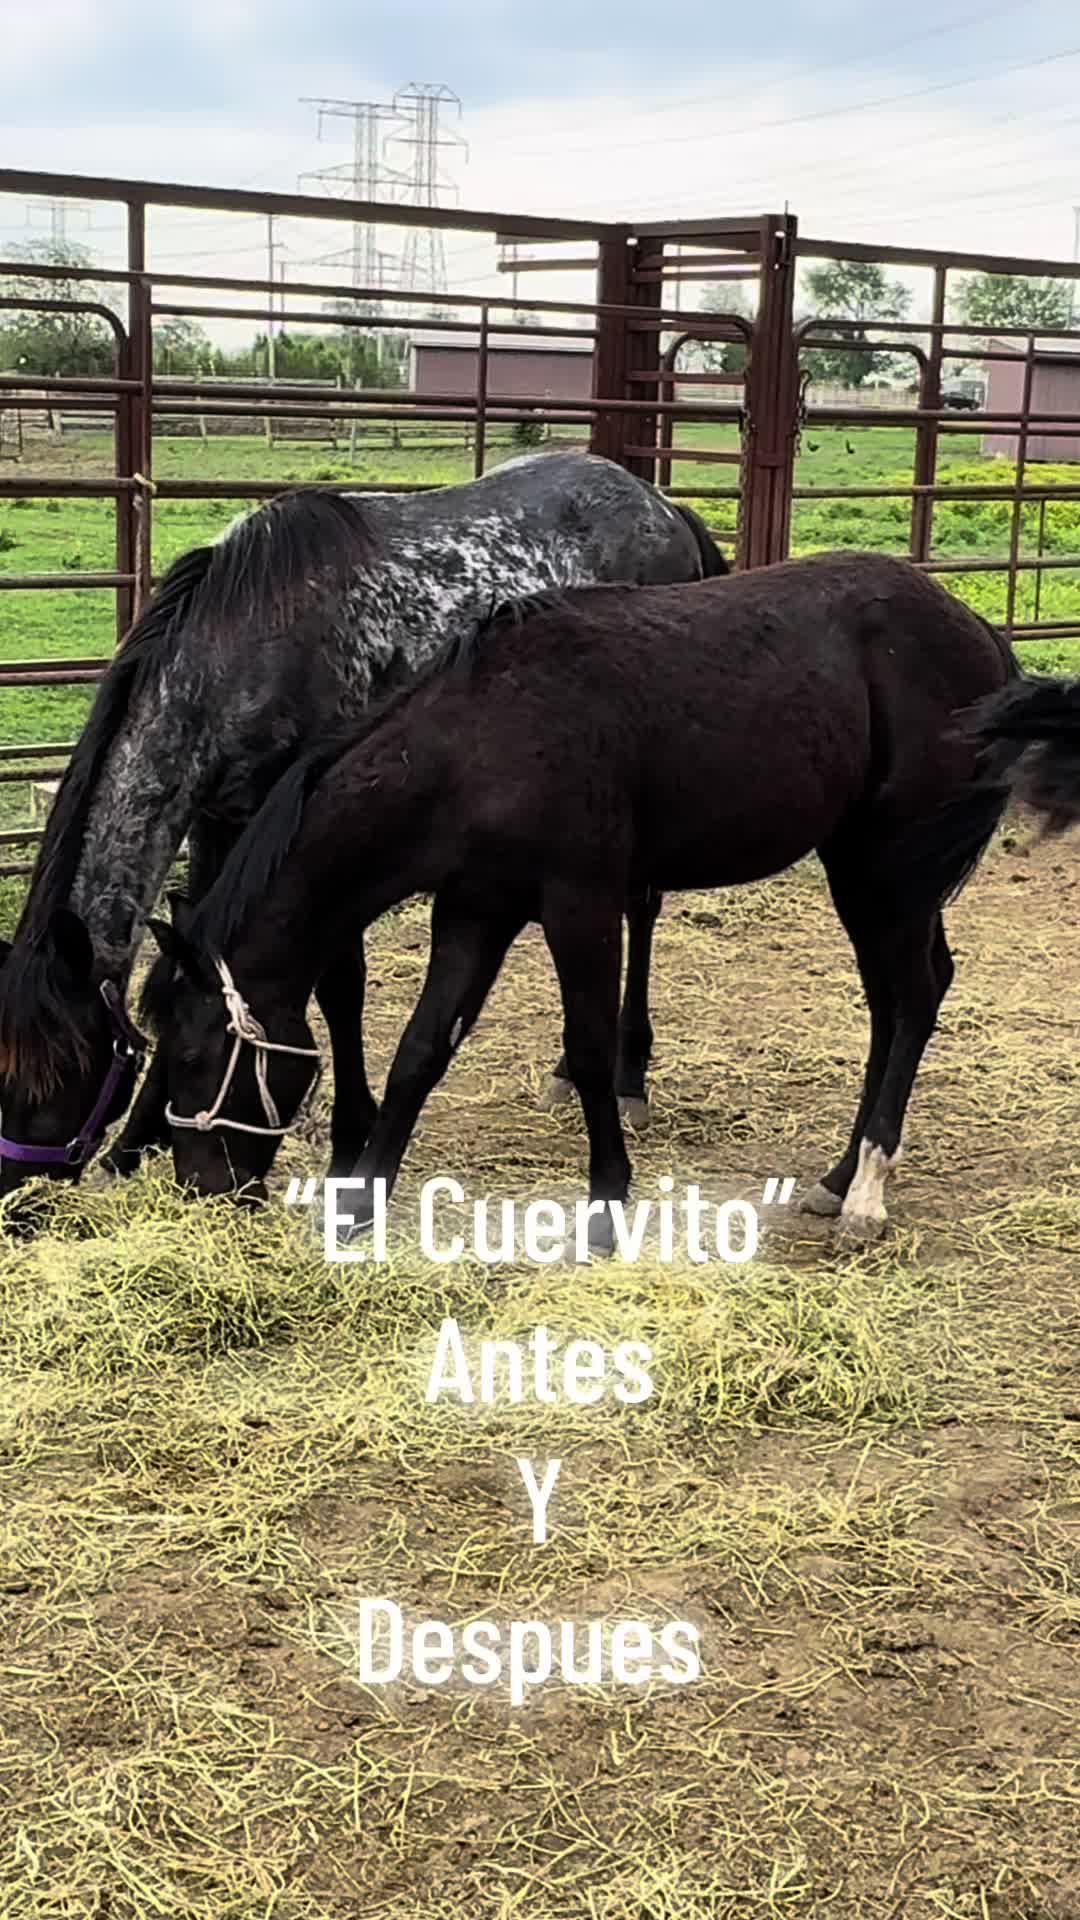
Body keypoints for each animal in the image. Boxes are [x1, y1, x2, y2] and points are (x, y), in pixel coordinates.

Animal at [0, 451, 725, 1208]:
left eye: (58, 1072)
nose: (17, 1191)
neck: (245, 646)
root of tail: (663, 506)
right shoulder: (219, 826)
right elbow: (186, 968)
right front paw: (133, 1145)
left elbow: (340, 984)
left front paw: (352, 1134)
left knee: (642, 910)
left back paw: (628, 1075)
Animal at [147, 550, 1017, 1249]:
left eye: (190, 1056)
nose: (201, 1187)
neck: (479, 745)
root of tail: (973, 629)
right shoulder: (474, 911)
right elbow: (421, 1050)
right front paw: (361, 1204)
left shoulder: (580, 907)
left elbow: (592, 1050)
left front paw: (605, 1204)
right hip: (864, 871)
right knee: (895, 1003)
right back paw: (836, 1180)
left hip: (890, 871)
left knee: (913, 999)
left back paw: (866, 1195)